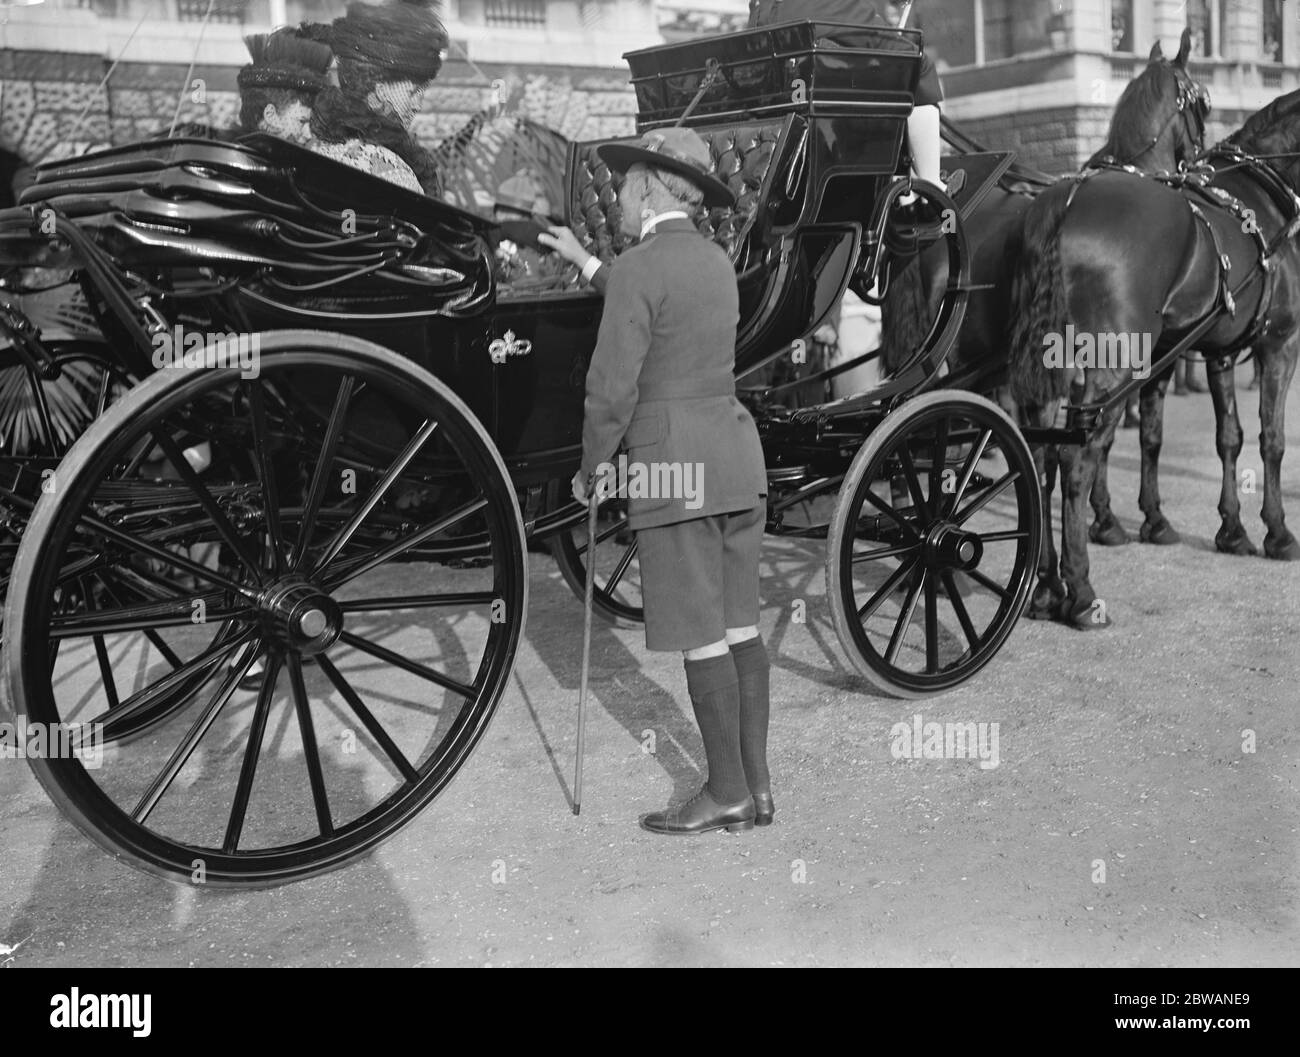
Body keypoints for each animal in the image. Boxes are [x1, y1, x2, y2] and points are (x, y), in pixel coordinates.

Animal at [1008, 86, 1300, 626]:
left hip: (1057, 366)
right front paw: (1277, 532)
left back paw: (1045, 586)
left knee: (1039, 457)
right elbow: (1271, 440)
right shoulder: (1279, 344)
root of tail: (1066, 197)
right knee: (1076, 456)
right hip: (1112, 359)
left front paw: (1230, 529)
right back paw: (1080, 590)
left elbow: (1224, 437)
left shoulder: (1216, 350)